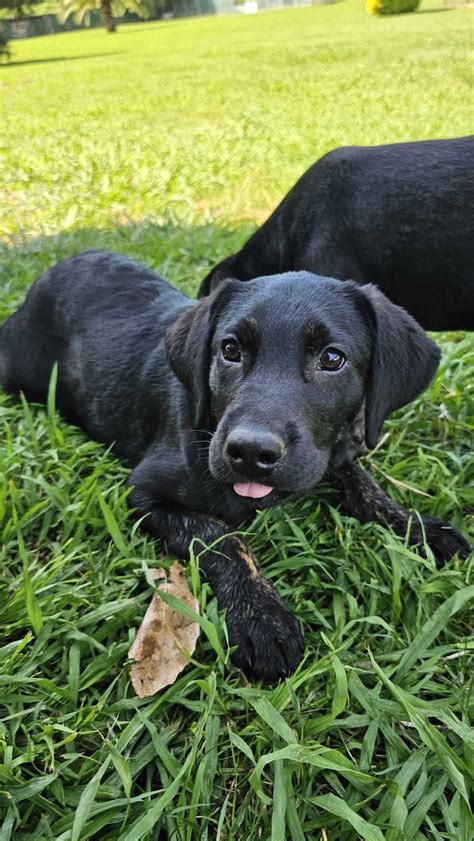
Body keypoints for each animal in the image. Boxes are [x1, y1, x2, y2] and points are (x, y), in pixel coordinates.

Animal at [0, 251, 466, 684]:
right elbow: (218, 535)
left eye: (333, 359)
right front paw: (260, 616)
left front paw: (421, 528)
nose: (250, 452)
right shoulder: (144, 491)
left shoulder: (328, 453)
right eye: (230, 350)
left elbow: (362, 484)